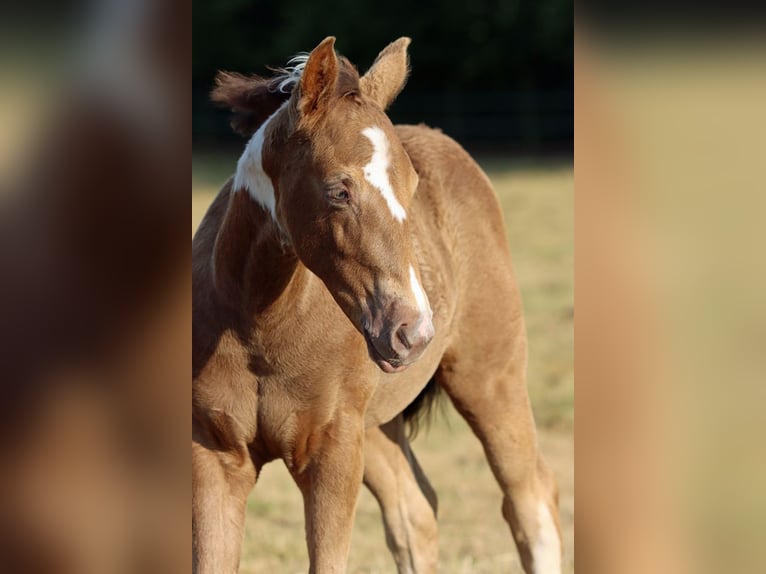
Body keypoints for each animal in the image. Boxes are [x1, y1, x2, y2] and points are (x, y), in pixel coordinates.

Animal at [192, 36, 561, 574]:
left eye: (412, 187)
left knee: (530, 499)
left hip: (489, 376)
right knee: (416, 513)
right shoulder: (216, 458)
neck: (260, 325)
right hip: (379, 423)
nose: (413, 333)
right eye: (339, 190)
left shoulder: (333, 451)